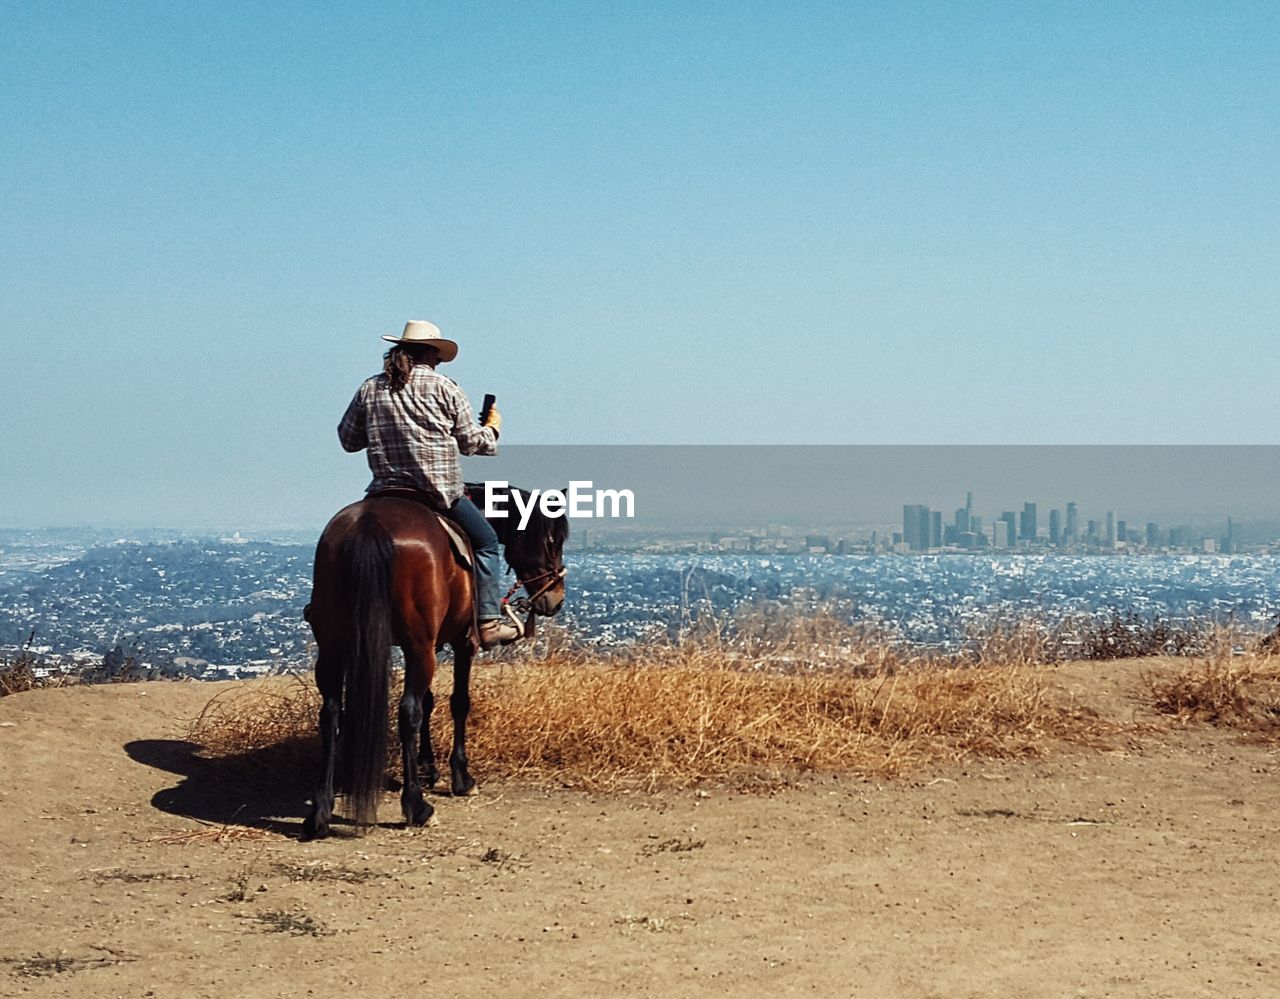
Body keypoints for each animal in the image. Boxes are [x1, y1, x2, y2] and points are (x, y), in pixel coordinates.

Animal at [302, 481, 568, 835]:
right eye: (553, 542)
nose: (555, 599)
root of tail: (369, 524)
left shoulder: (428, 644)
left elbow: (429, 701)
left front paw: (428, 767)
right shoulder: (460, 642)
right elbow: (458, 702)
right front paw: (461, 777)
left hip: (335, 642)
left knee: (332, 713)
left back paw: (321, 809)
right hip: (417, 643)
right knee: (407, 712)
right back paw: (416, 806)